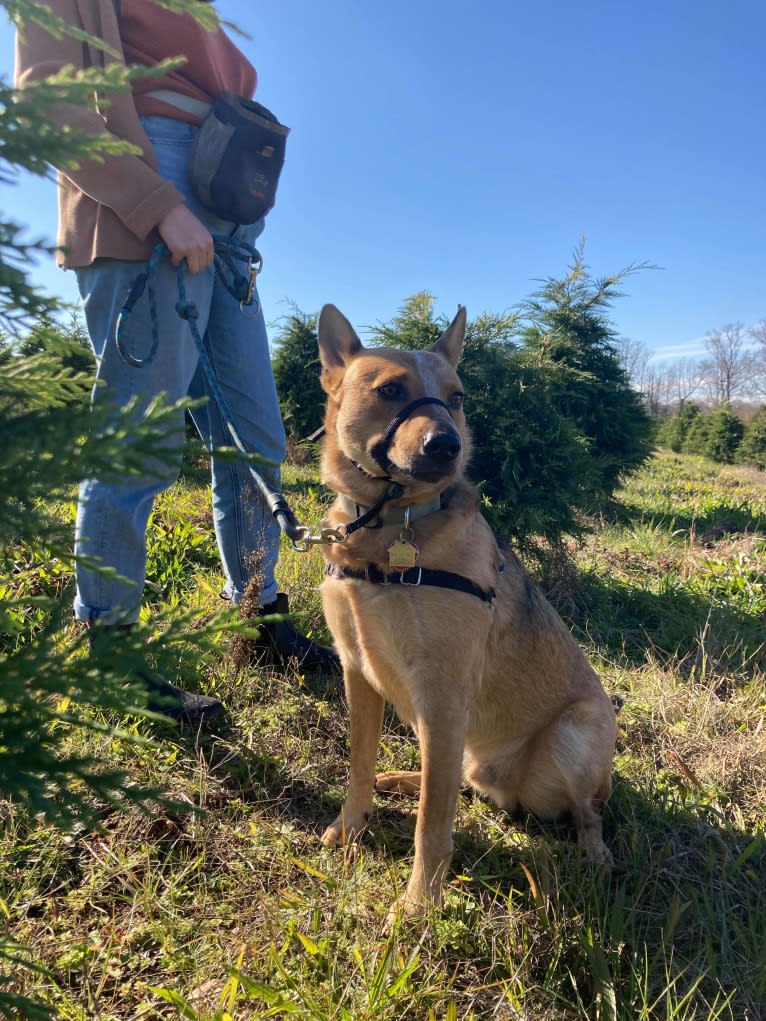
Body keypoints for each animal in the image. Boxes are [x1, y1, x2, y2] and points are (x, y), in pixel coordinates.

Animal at [318, 304, 616, 927]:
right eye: (390, 390)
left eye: (456, 398)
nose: (447, 446)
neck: (390, 529)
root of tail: (509, 789)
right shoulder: (358, 673)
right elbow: (360, 766)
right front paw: (351, 826)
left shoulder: (443, 694)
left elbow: (433, 824)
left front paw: (419, 905)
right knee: (454, 779)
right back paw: (404, 778)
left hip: (577, 734)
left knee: (588, 811)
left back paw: (596, 856)